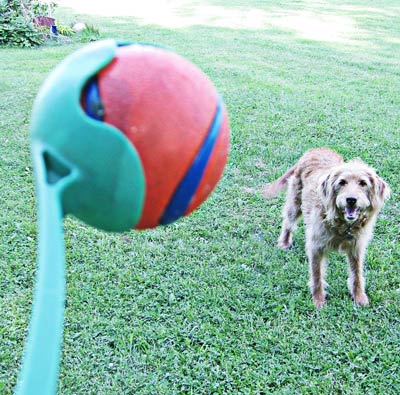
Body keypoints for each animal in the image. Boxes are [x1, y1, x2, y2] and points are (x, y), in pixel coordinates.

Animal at [264, 148, 390, 310]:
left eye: (363, 183)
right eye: (342, 182)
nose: (351, 199)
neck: (342, 225)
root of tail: (315, 149)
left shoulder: (356, 249)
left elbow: (357, 275)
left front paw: (359, 297)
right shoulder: (316, 247)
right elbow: (317, 276)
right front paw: (318, 300)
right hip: (295, 202)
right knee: (288, 223)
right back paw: (284, 243)